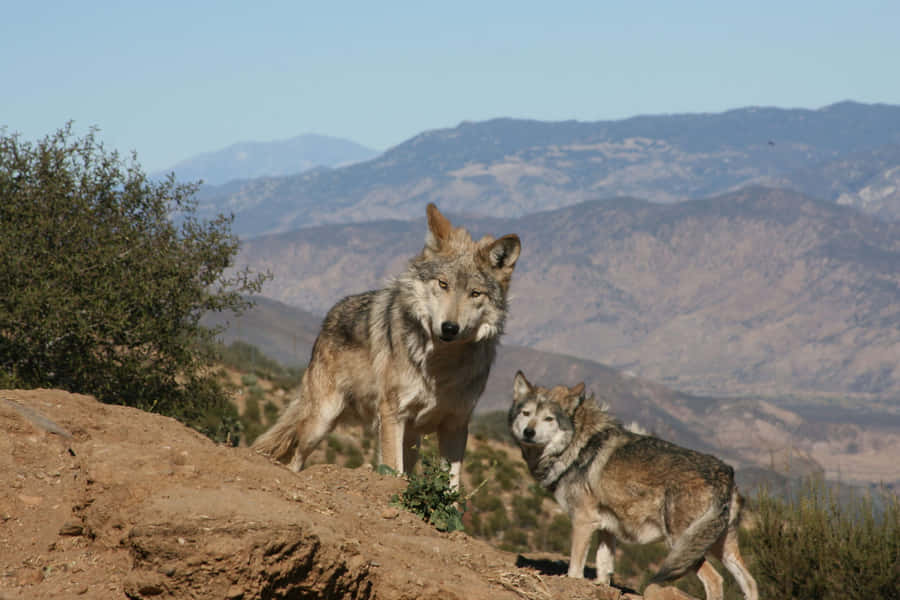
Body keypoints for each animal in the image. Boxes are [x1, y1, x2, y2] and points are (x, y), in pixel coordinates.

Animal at [253, 203, 520, 488]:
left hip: (411, 437)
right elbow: (394, 470)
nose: (449, 328)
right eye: (443, 284)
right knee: (295, 459)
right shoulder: (393, 413)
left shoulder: (455, 424)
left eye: (475, 293)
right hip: (322, 421)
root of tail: (330, 316)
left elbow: (452, 487)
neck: (441, 366)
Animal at [508, 371, 758, 600]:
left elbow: (574, 570)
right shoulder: (607, 528)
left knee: (715, 580)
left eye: (549, 419)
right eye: (526, 413)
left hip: (682, 544)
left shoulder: (583, 521)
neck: (578, 445)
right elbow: (603, 568)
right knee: (750, 581)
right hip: (718, 546)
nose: (529, 432)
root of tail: (725, 473)